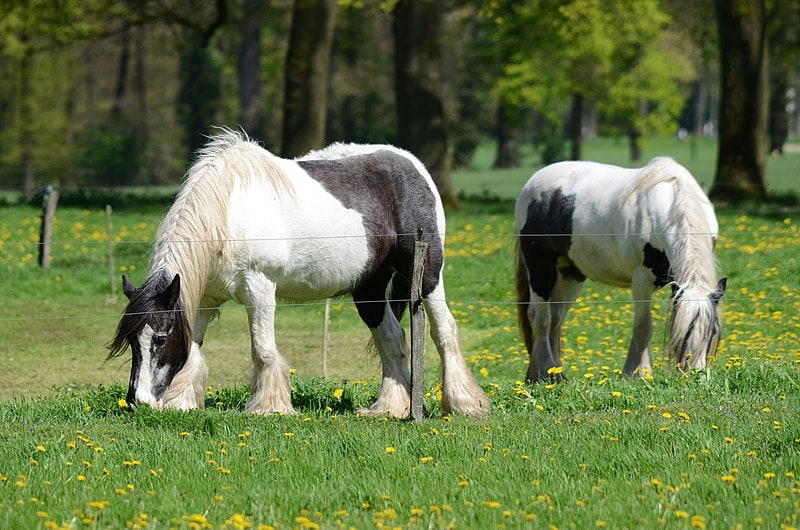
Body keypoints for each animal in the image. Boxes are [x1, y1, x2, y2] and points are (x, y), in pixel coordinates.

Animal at [107, 129, 489, 418]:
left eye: (159, 339)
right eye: (132, 341)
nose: (139, 401)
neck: (227, 213)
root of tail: (412, 165)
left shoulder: (259, 288)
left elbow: (263, 349)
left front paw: (269, 407)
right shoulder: (204, 296)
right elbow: (194, 350)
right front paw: (183, 402)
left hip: (425, 275)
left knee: (444, 332)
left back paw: (465, 404)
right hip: (369, 288)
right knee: (391, 340)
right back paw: (389, 408)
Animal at [514, 157, 726, 382]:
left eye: (713, 331)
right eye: (685, 333)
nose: (696, 374)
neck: (670, 201)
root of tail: (532, 182)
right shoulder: (641, 278)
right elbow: (644, 327)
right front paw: (638, 373)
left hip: (569, 273)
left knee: (556, 317)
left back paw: (556, 375)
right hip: (539, 266)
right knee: (540, 317)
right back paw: (542, 373)